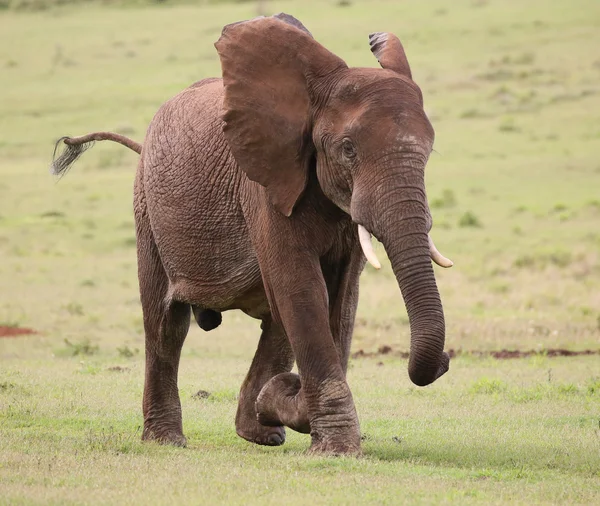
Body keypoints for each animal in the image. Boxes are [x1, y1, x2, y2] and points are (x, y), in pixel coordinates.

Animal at [51, 12, 452, 454]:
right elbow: (301, 287)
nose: (447, 360)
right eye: (348, 149)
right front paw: (334, 447)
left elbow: (342, 299)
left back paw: (260, 431)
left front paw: (292, 410)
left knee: (273, 324)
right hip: (147, 208)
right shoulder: (263, 187)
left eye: (429, 152)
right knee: (166, 324)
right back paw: (168, 440)